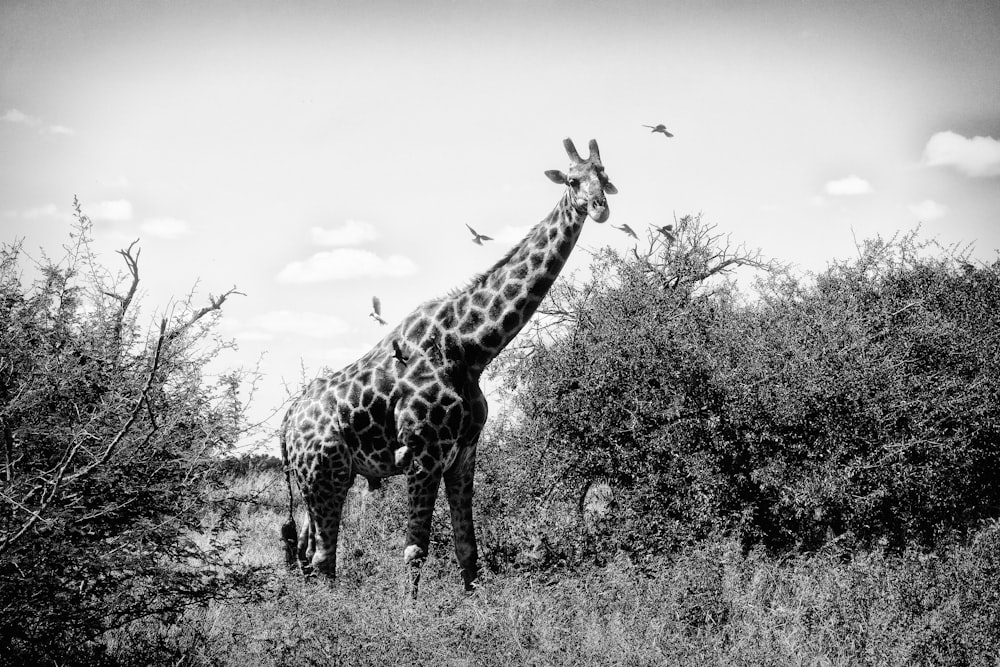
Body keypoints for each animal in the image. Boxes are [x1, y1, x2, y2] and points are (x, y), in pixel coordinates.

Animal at [278, 137, 612, 596]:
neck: (470, 348)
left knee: (307, 554)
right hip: (325, 474)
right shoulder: (424, 454)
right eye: (573, 180)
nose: (599, 207)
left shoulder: (464, 453)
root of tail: (288, 422)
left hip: (317, 479)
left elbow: (467, 548)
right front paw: (408, 613)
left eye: (606, 175)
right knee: (323, 559)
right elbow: (415, 551)